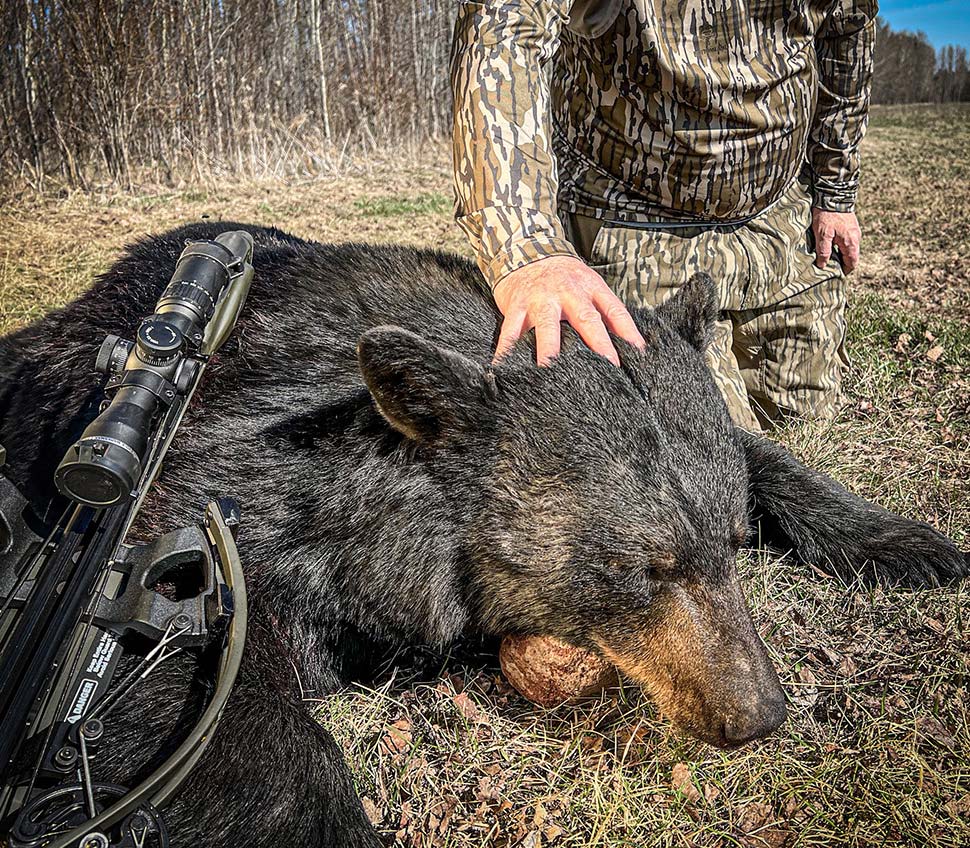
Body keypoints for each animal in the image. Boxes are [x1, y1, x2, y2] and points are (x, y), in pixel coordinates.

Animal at [0, 222, 965, 848]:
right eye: (638, 569)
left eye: (731, 544)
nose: (760, 714)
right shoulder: (212, 500)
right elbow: (198, 681)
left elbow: (766, 453)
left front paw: (910, 542)